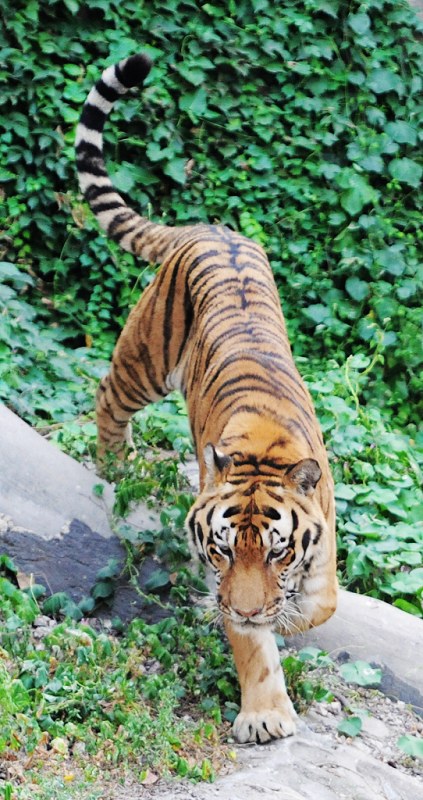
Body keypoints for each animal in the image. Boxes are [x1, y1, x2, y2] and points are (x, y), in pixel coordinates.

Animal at [75, 54, 337, 744]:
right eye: (221, 549)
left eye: (276, 551)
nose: (244, 606)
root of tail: (209, 226)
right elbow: (254, 645)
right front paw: (265, 715)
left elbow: (318, 603)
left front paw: (289, 613)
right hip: (146, 358)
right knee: (107, 394)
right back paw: (116, 465)